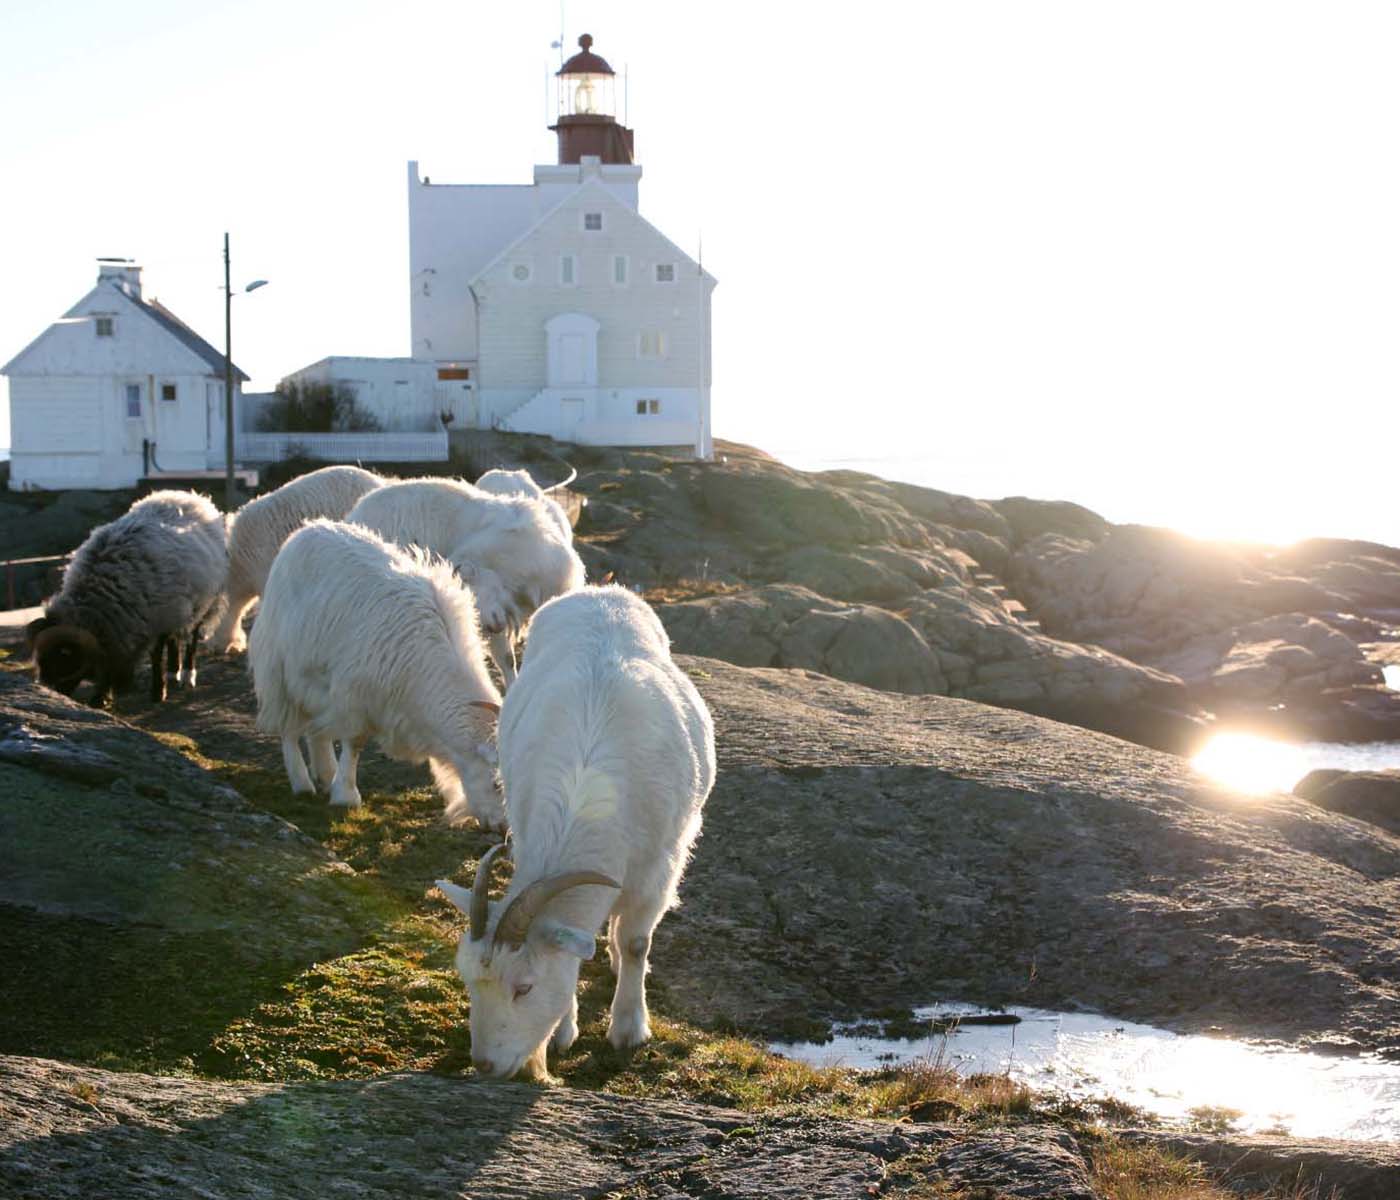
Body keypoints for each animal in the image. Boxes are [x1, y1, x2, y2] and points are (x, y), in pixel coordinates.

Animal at [26, 489, 228, 707]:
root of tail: (187, 495)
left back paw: (188, 675)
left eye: (64, 657)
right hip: (180, 607)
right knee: (175, 640)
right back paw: (173, 673)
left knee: (192, 639)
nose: (54, 694)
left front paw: (156, 693)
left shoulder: (156, 621)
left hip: (205, 603)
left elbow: (155, 657)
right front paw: (103, 696)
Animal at [248, 518, 504, 829]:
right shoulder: (355, 695)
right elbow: (355, 743)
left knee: (316, 726)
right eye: (496, 784)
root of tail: (308, 528)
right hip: (278, 667)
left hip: (316, 678)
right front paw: (346, 795)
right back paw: (302, 782)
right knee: (288, 725)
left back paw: (324, 773)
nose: (503, 828)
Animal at [437, 584, 715, 1081]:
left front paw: (629, 1028)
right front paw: (564, 1031)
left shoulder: (659, 868)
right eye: (468, 980)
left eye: (525, 988)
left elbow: (636, 941)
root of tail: (600, 591)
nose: (485, 1066)